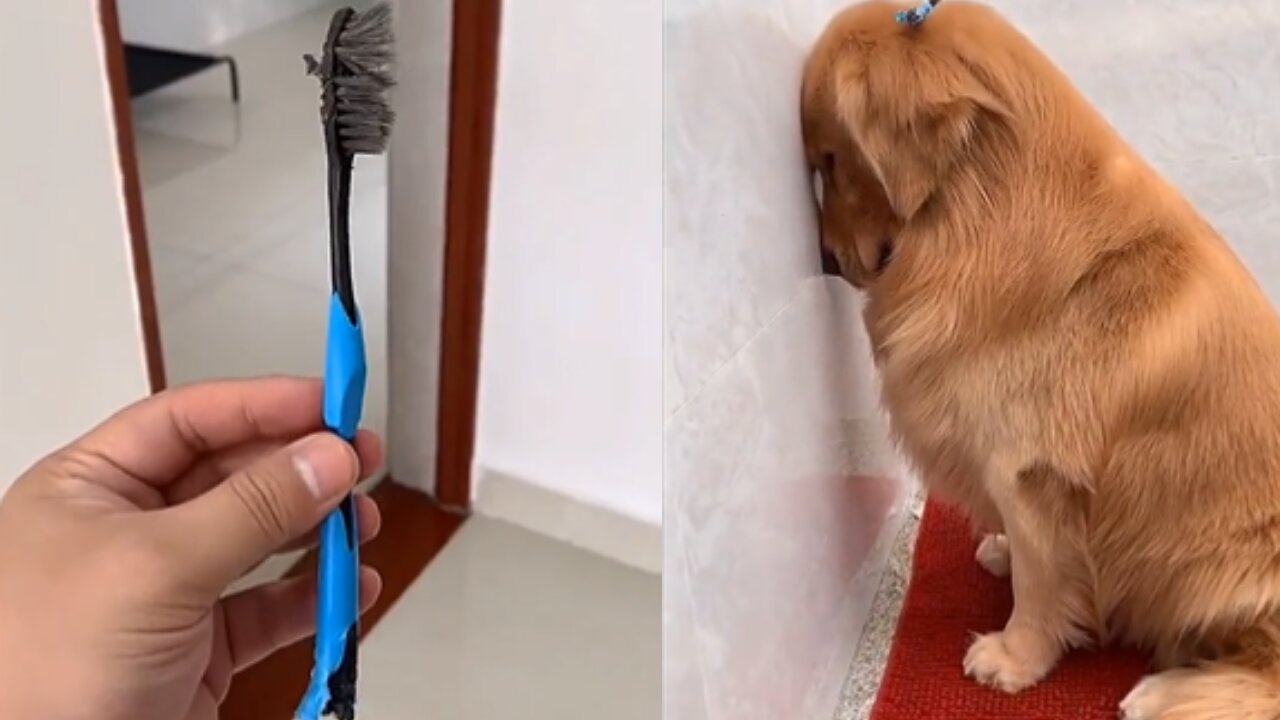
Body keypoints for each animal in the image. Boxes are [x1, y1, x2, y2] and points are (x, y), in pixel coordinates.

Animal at [803, 2, 1280, 712]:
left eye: (831, 162)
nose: (825, 262)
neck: (977, 212)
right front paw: (1001, 553)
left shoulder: (1032, 470)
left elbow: (1040, 579)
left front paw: (1014, 658)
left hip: (1219, 568)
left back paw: (1163, 693)